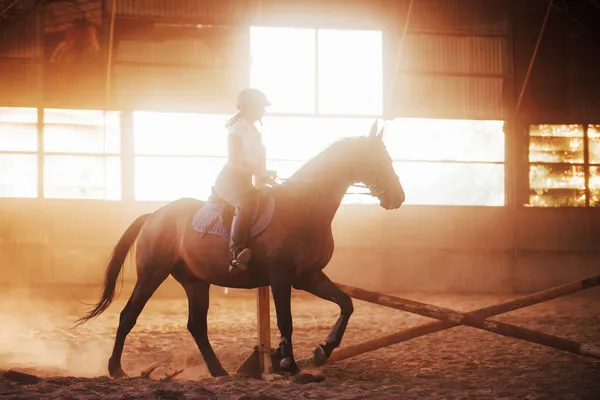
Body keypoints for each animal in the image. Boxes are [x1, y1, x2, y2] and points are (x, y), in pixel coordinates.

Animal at [74, 121, 404, 378]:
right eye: (377, 159)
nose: (398, 197)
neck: (305, 208)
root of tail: (154, 215)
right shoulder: (281, 276)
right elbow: (286, 319)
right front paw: (289, 364)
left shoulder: (308, 276)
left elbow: (346, 304)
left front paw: (324, 349)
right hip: (152, 274)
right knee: (129, 315)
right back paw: (116, 369)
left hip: (195, 281)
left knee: (196, 325)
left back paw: (219, 371)